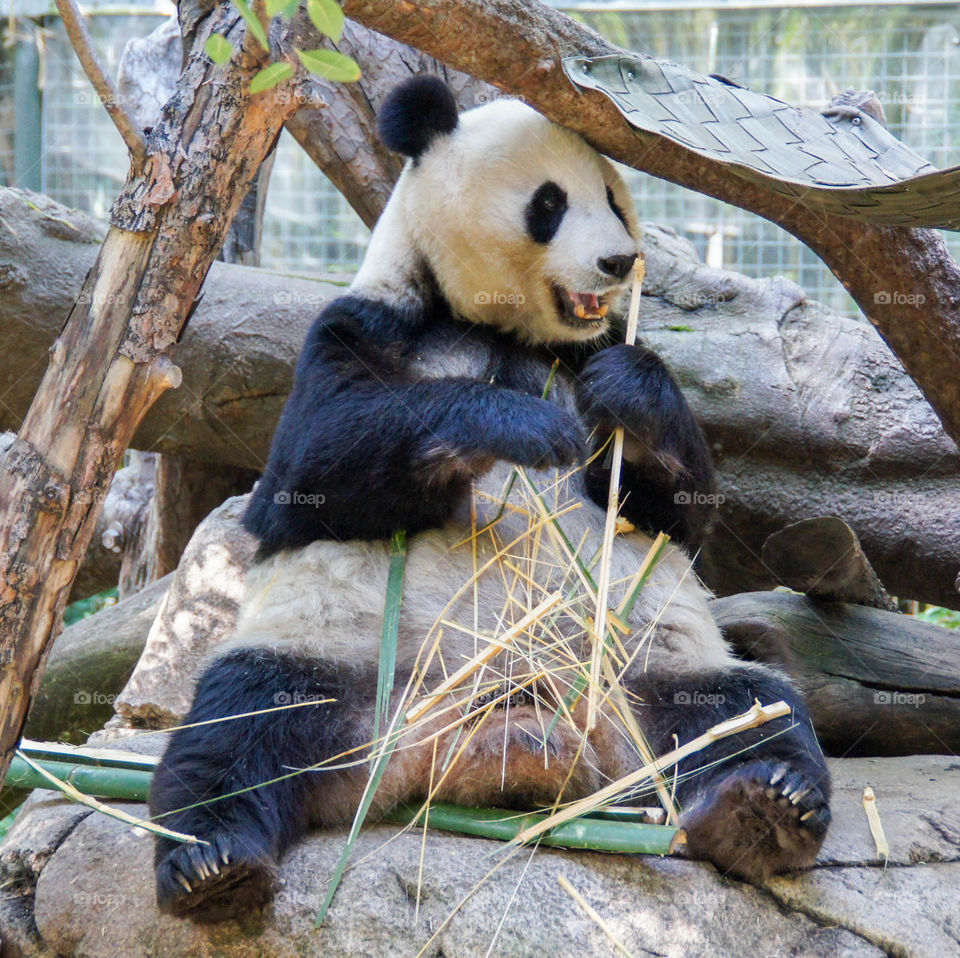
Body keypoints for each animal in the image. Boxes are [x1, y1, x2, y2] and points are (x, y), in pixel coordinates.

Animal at [150, 76, 831, 922]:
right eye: (551, 202)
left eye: (615, 197)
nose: (619, 260)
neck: (511, 335)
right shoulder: (366, 325)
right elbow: (308, 471)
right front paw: (522, 425)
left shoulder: (593, 351)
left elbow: (681, 512)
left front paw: (629, 395)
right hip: (340, 665)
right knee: (238, 728)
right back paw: (211, 867)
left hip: (643, 675)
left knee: (747, 711)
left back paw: (766, 808)